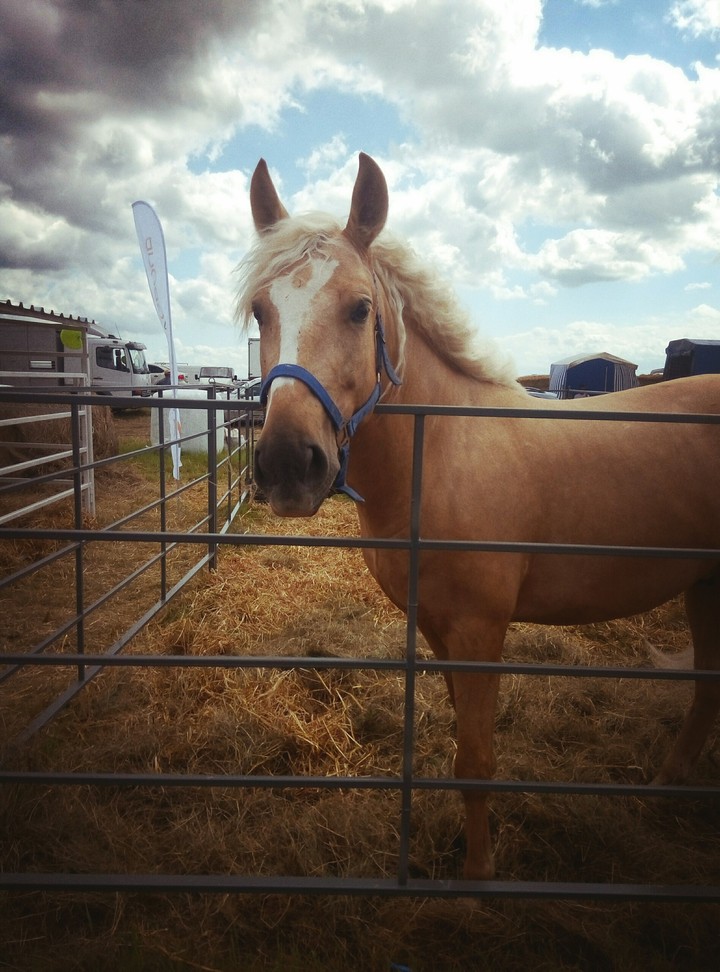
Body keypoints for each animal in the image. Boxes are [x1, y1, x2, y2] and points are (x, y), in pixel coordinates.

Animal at [236, 152, 720, 880]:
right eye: (262, 311)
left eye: (359, 309)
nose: (290, 464)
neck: (442, 450)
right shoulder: (439, 629)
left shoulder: (479, 631)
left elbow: (477, 760)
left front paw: (478, 874)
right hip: (704, 586)